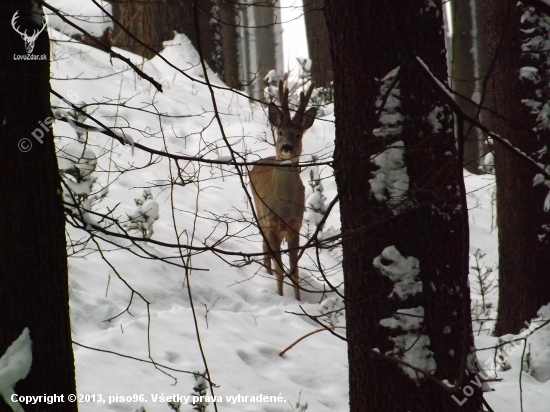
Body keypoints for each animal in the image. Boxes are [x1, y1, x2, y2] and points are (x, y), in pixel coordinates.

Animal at [251, 80, 320, 300]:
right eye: (280, 132)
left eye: (298, 134)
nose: (287, 147)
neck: (283, 205)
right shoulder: (271, 222)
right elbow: (281, 269)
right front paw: (281, 298)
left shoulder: (294, 225)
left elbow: (294, 269)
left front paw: (298, 300)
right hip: (260, 213)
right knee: (265, 248)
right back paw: (267, 273)